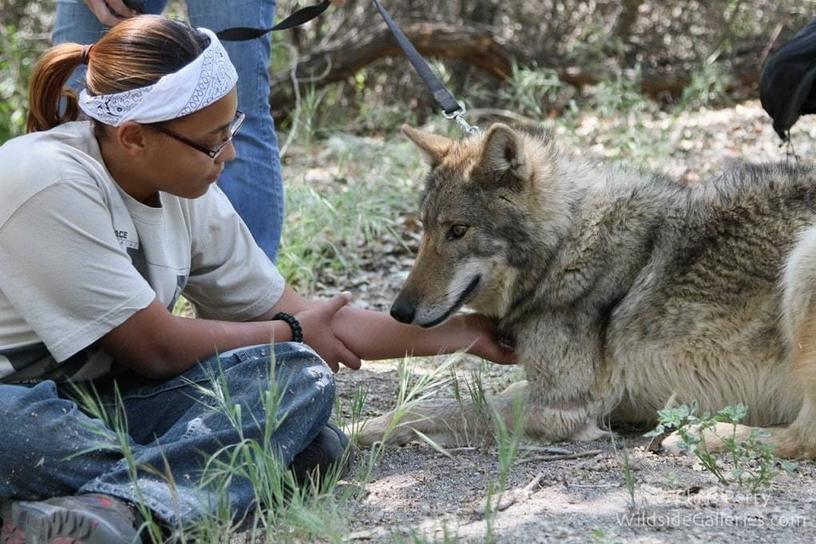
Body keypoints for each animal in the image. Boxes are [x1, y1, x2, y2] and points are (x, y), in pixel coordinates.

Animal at [354, 123, 816, 460]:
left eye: (458, 231)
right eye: (425, 230)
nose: (399, 312)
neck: (564, 246)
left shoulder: (563, 406)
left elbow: (448, 408)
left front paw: (361, 428)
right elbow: (430, 404)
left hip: (804, 262)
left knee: (804, 439)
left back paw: (699, 434)